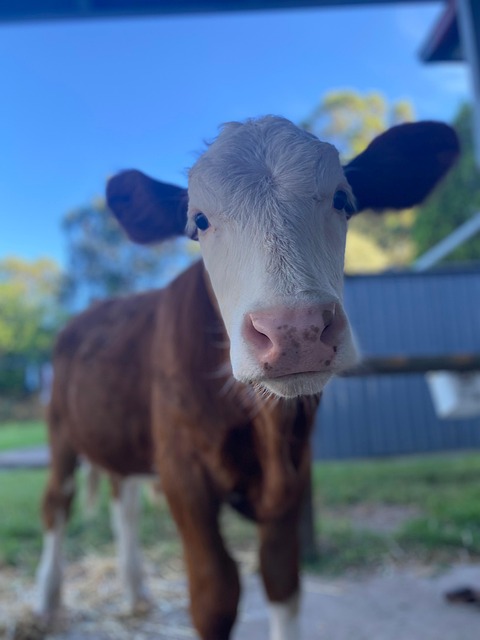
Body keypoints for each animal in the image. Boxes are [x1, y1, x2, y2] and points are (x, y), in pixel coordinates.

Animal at [33, 116, 458, 640]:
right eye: (199, 221)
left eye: (342, 199)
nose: (294, 329)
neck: (265, 429)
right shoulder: (182, 473)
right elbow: (215, 594)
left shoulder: (293, 476)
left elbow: (282, 580)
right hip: (59, 429)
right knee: (57, 502)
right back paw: (46, 600)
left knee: (124, 501)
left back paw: (135, 591)